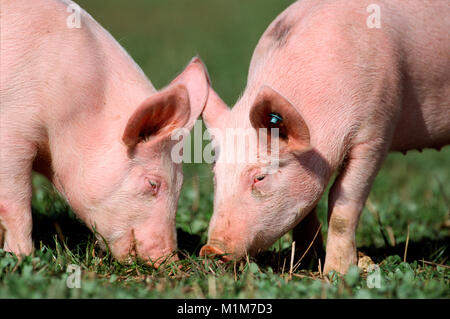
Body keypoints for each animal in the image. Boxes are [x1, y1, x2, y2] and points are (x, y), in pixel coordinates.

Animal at [0, 0, 211, 264]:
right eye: (153, 183)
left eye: (180, 184)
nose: (170, 261)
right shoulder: (12, 130)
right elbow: (15, 204)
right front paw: (22, 256)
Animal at [201, 0, 450, 276]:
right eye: (215, 174)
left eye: (260, 177)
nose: (210, 249)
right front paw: (304, 262)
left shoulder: (375, 131)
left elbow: (342, 202)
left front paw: (336, 273)